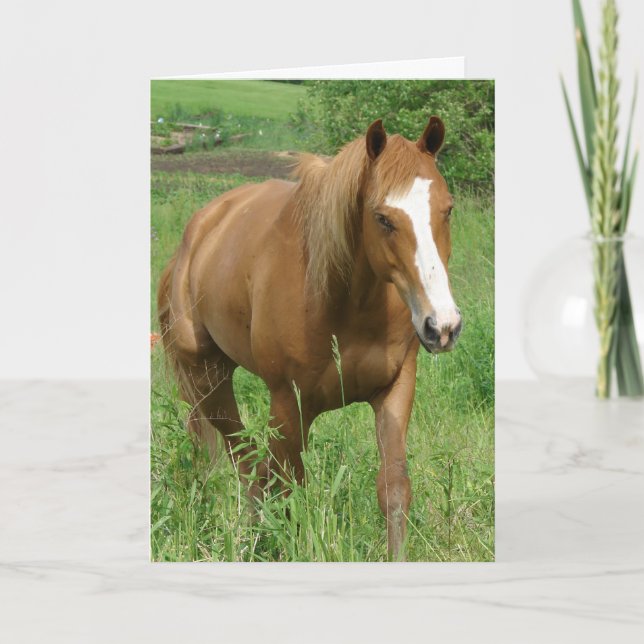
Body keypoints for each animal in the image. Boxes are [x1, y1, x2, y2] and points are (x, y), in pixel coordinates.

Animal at [157, 116, 462, 560]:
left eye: (448, 209)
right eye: (383, 218)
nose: (442, 326)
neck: (344, 303)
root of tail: (197, 232)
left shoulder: (395, 389)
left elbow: (393, 489)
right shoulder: (289, 405)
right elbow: (288, 490)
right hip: (208, 381)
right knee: (248, 465)